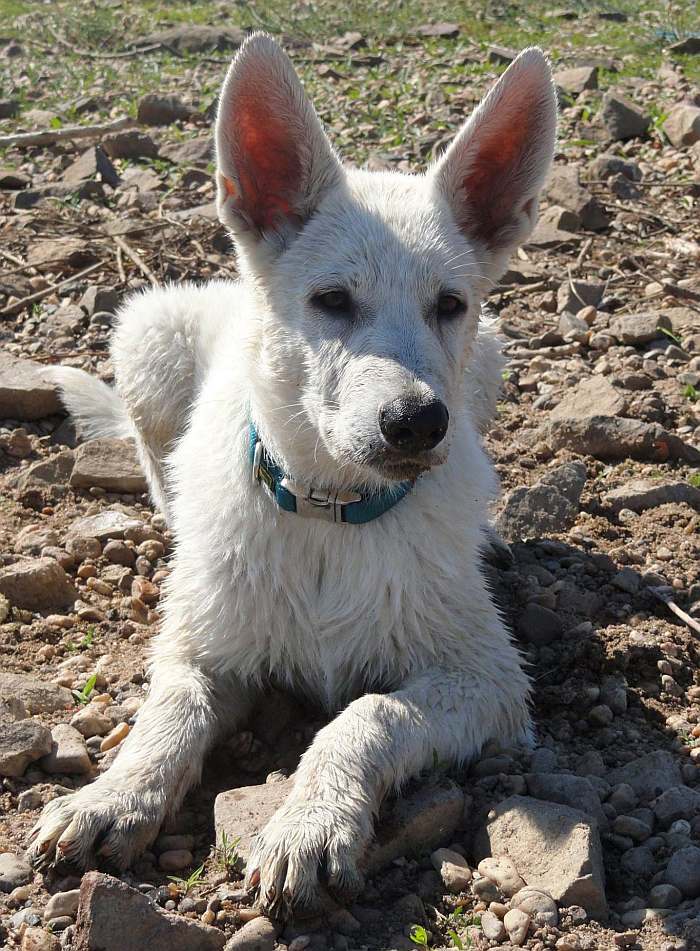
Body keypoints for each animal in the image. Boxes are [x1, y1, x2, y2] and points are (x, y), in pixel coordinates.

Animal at [28, 33, 556, 920]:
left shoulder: (489, 678)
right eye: (332, 300)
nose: (417, 422)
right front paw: (115, 795)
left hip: (487, 364)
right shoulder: (197, 646)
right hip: (148, 337)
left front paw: (312, 821)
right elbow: (168, 712)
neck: (329, 513)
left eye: (449, 303)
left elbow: (367, 714)